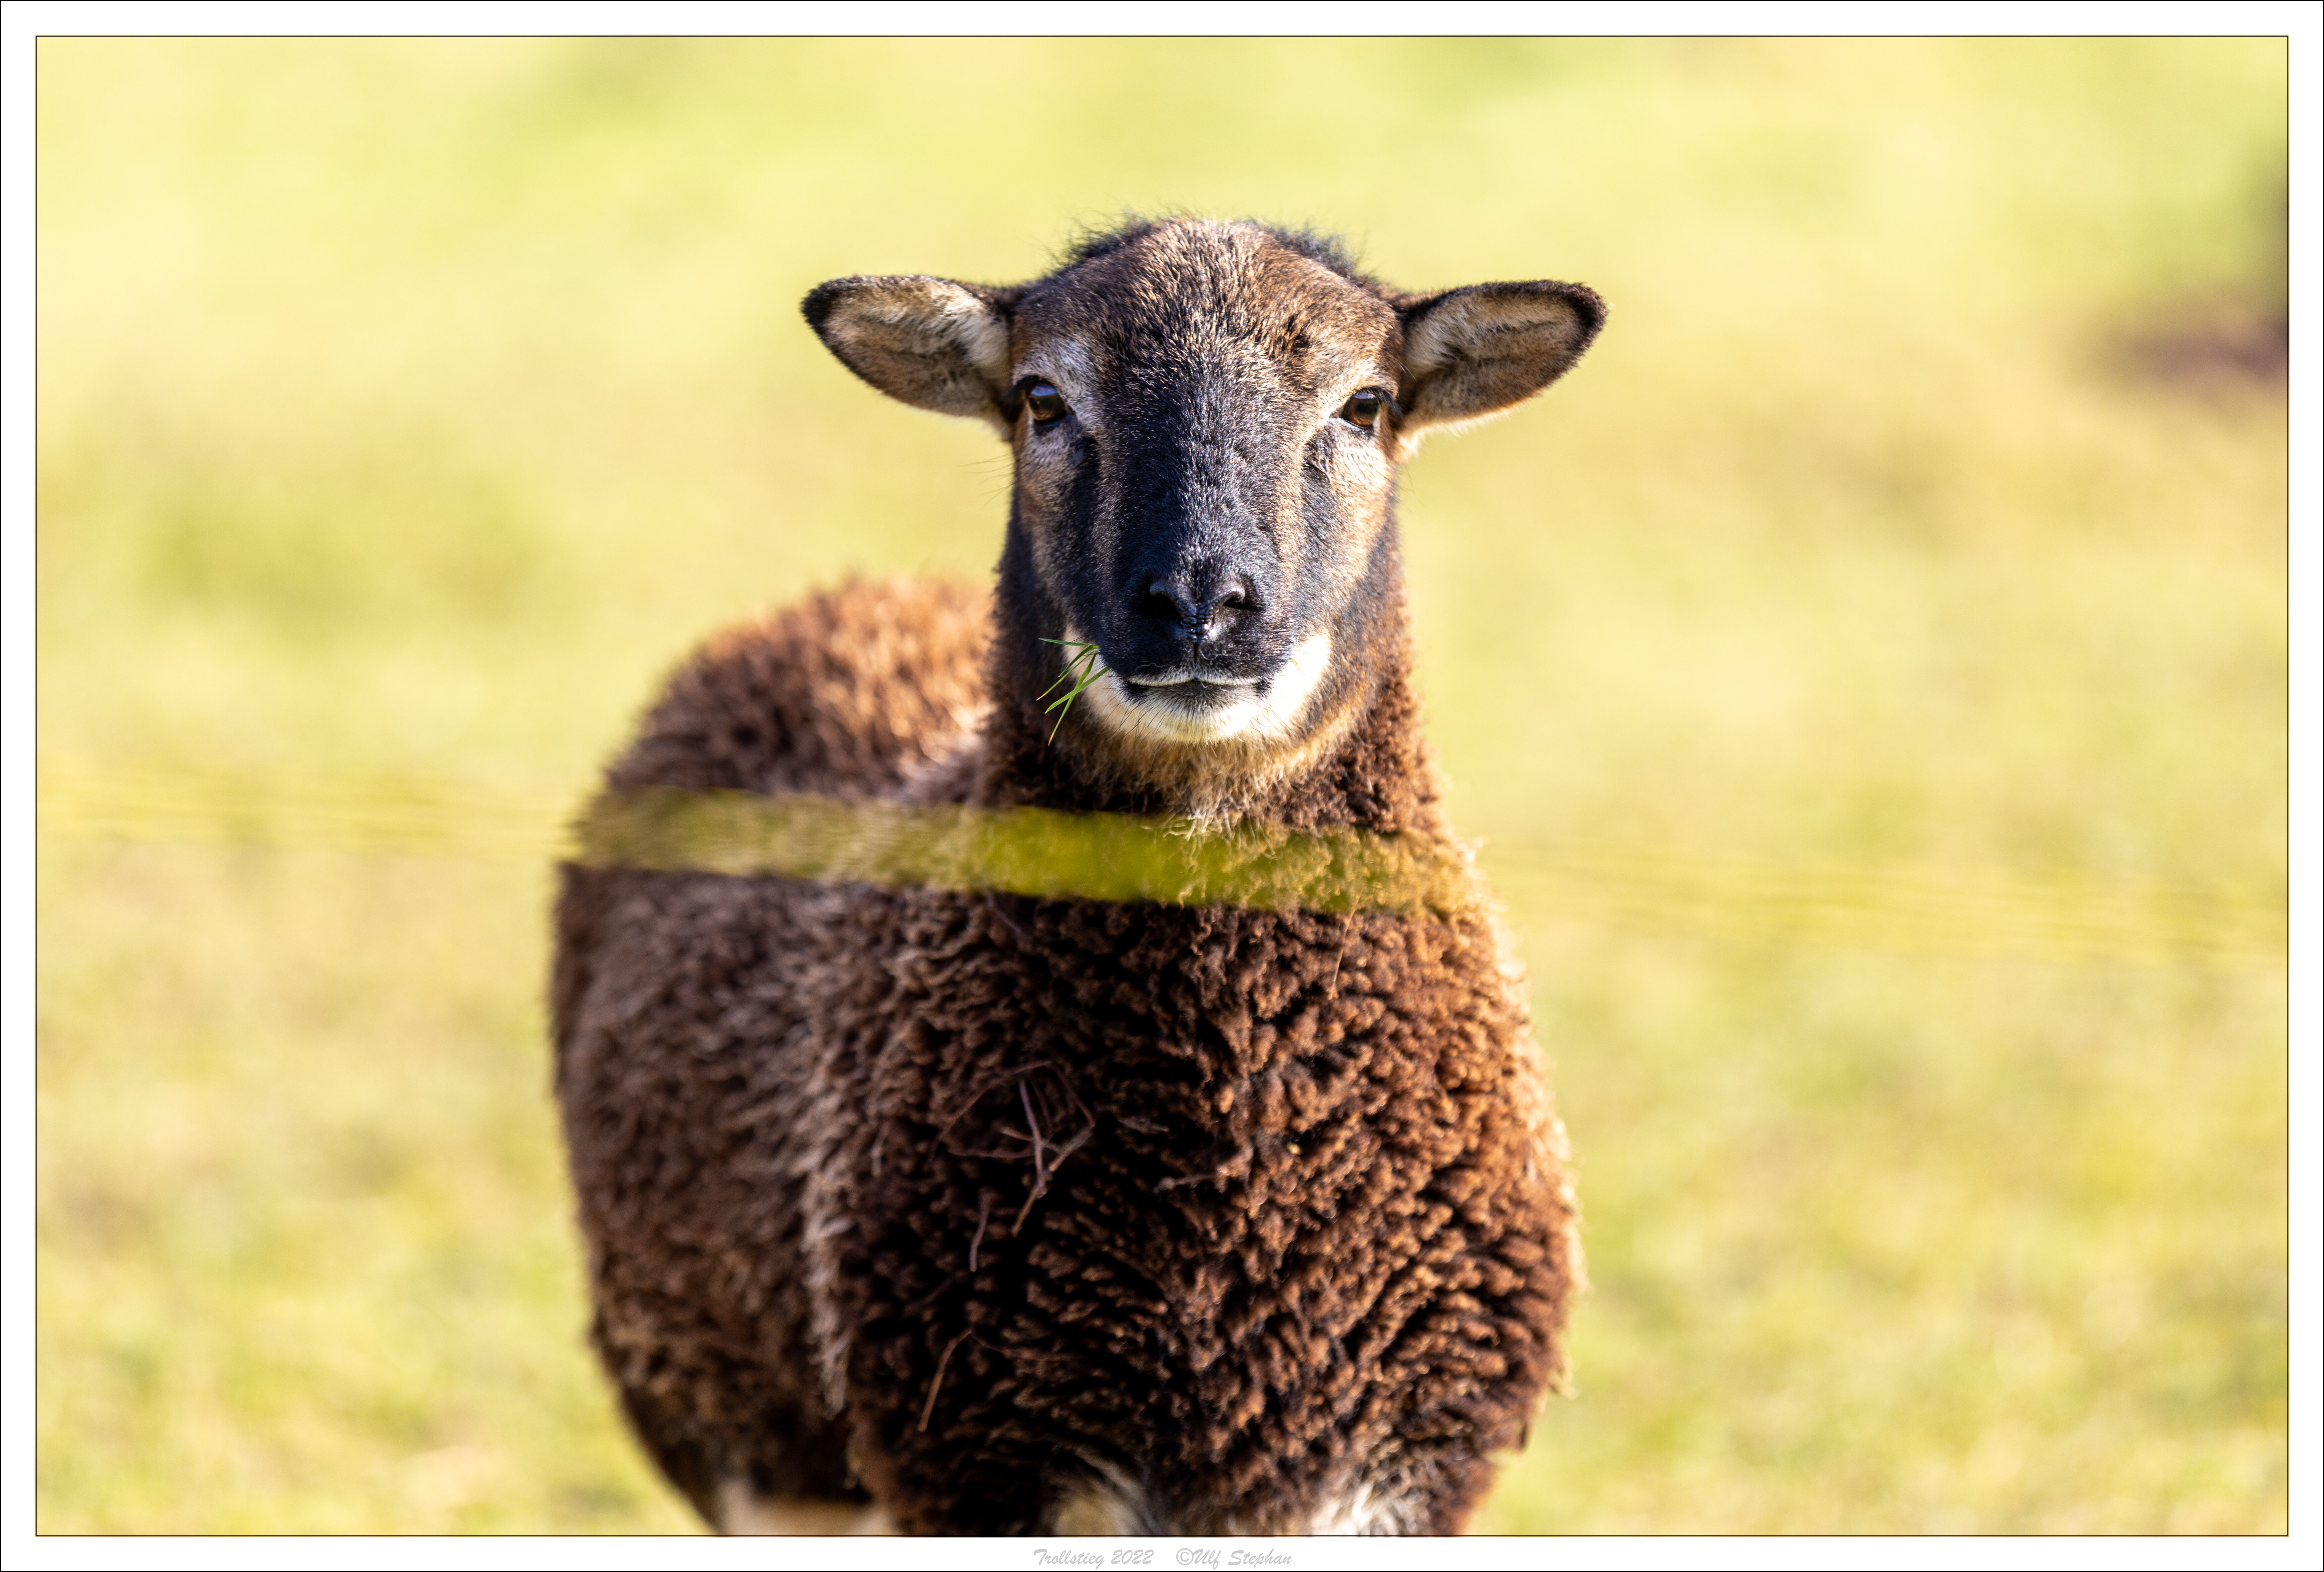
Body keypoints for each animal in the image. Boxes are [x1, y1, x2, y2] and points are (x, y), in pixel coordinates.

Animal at [552, 216, 1606, 1536]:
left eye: (1364, 404)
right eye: (1043, 400)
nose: (1199, 603)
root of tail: (846, 593)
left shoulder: (1398, 1466)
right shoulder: (981, 1454)